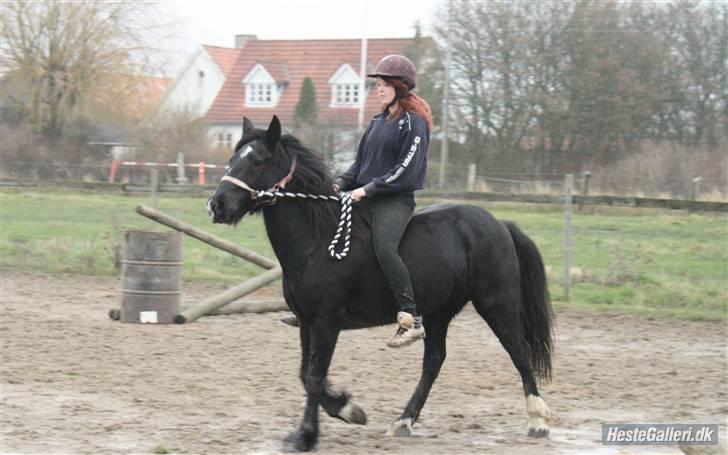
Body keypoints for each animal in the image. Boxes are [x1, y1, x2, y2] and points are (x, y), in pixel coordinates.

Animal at [207, 115, 554, 452]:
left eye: (257, 160)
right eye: (232, 158)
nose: (217, 205)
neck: (319, 242)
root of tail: (499, 224)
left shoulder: (326, 323)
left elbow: (315, 376)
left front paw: (307, 435)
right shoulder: (307, 322)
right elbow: (305, 375)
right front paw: (347, 410)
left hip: (496, 303)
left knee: (518, 351)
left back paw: (538, 419)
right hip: (438, 312)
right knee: (434, 361)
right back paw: (403, 422)